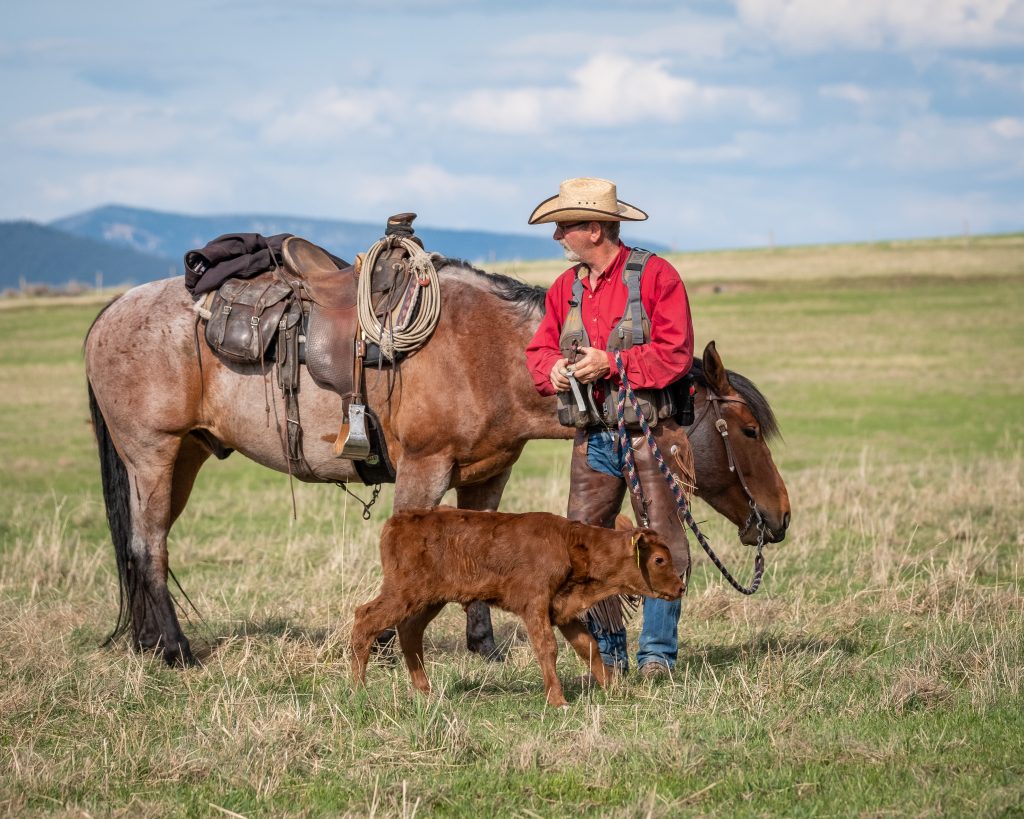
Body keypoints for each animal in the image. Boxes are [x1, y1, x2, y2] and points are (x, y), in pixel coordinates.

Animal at [86, 259, 790, 667]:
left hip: (185, 457)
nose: (779, 517)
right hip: (154, 455)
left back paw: (148, 644)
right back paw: (174, 651)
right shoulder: (424, 469)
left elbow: (483, 551)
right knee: (149, 547)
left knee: (140, 548)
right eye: (749, 429)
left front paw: (484, 648)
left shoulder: (487, 472)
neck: (492, 353)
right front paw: (391, 645)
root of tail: (110, 311)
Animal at [352, 505, 688, 704]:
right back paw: (360, 689)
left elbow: (588, 646)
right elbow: (547, 647)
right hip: (404, 593)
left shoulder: (562, 610)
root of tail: (401, 518)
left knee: (410, 632)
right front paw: (559, 701)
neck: (571, 544)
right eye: (659, 559)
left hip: (428, 599)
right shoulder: (534, 604)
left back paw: (427, 692)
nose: (681, 587)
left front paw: (615, 688)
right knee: (365, 618)